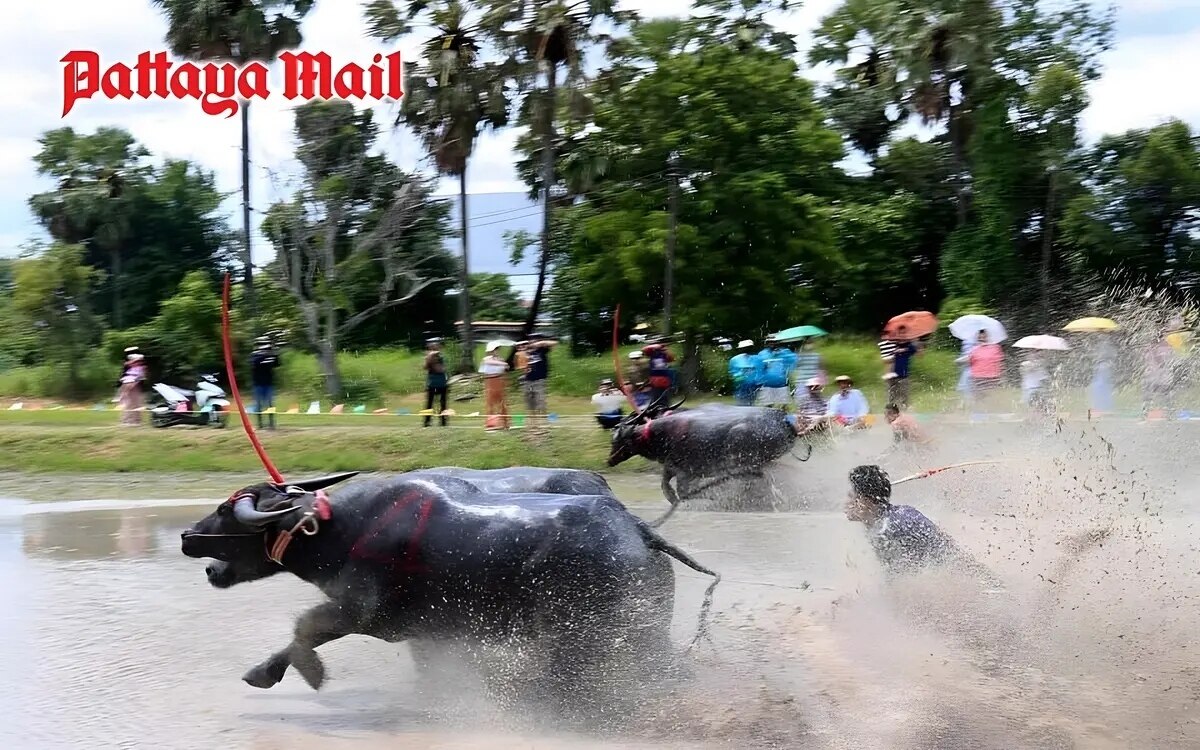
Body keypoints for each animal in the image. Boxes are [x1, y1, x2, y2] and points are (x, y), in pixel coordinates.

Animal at [177, 470, 715, 710]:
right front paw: (261, 672)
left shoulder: (361, 611)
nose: (186, 536)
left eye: (225, 512)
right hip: (646, 628)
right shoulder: (428, 632)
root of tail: (637, 530)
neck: (340, 528)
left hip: (584, 633)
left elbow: (304, 628)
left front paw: (304, 673)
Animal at [604, 403, 811, 525]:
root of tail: (785, 421)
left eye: (618, 440)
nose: (609, 460)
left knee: (763, 480)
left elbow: (680, 493)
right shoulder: (673, 469)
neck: (660, 434)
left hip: (745, 461)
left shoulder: (684, 472)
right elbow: (668, 490)